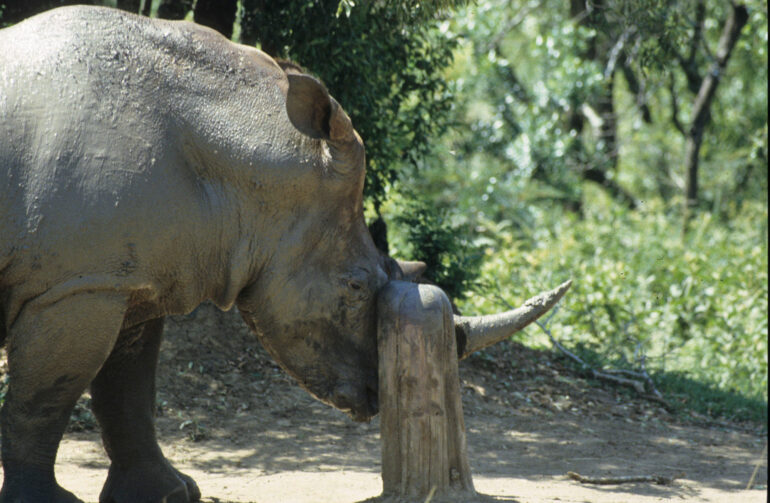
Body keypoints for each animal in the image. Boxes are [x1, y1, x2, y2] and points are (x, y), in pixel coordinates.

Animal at [0, 6, 569, 502]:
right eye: (355, 287)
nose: (376, 395)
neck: (243, 152)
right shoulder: (75, 285)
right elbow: (44, 398)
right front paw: (45, 502)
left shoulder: (124, 276)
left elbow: (128, 390)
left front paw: (170, 494)